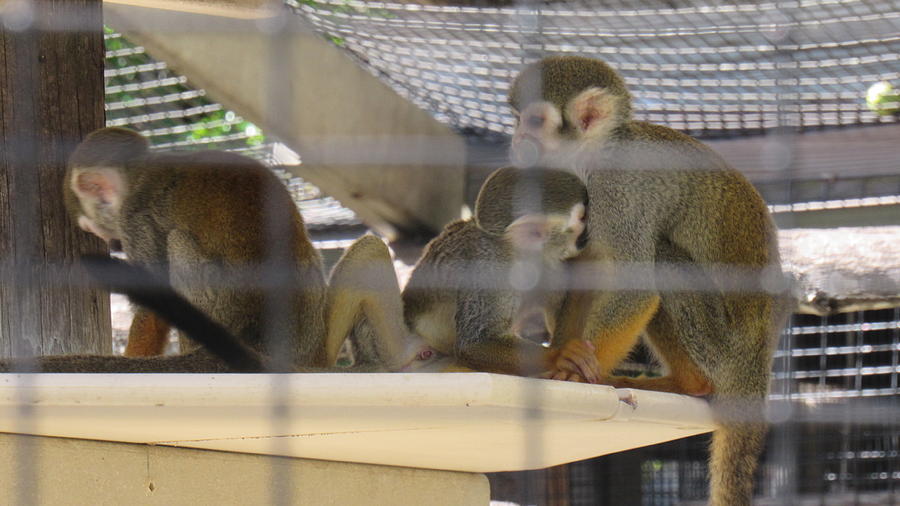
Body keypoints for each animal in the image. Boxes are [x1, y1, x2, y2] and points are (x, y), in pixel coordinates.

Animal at [400, 166, 596, 380]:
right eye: (583, 217)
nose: (588, 234)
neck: (522, 256)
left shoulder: (551, 263)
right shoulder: (488, 269)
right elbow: (475, 344)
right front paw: (559, 354)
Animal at [510, 56, 792, 506]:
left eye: (535, 121)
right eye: (517, 118)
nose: (518, 138)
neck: (595, 154)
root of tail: (756, 362)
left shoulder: (619, 192)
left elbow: (636, 286)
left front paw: (570, 373)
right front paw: (561, 352)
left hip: (722, 348)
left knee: (663, 256)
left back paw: (689, 382)